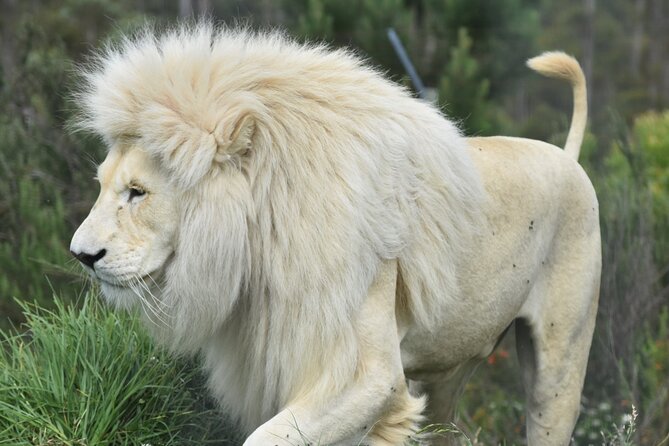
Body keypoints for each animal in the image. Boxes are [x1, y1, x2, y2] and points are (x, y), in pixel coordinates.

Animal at [70, 24, 600, 445]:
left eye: (137, 192)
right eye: (102, 185)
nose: (81, 255)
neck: (263, 239)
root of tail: (566, 157)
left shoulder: (370, 378)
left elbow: (267, 438)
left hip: (559, 369)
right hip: (451, 371)